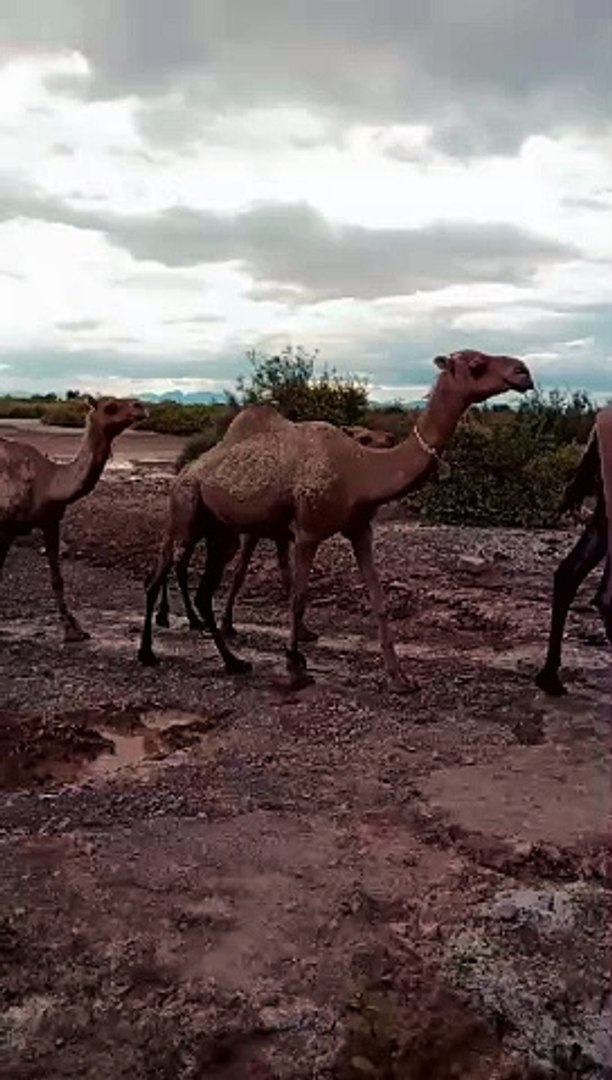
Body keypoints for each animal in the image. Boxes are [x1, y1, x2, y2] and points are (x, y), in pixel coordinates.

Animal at [0, 396, 147, 641]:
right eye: (110, 407)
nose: (140, 406)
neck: (49, 482)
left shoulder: (50, 522)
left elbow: (57, 579)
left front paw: (74, 629)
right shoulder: (6, 526)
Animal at [155, 407, 394, 639]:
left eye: (379, 438)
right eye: (364, 438)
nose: (389, 440)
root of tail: (180, 475)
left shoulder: (281, 533)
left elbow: (287, 576)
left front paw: (303, 631)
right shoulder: (254, 531)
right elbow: (241, 573)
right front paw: (227, 625)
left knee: (178, 560)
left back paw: (182, 617)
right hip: (186, 518)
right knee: (173, 558)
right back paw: (177, 617)